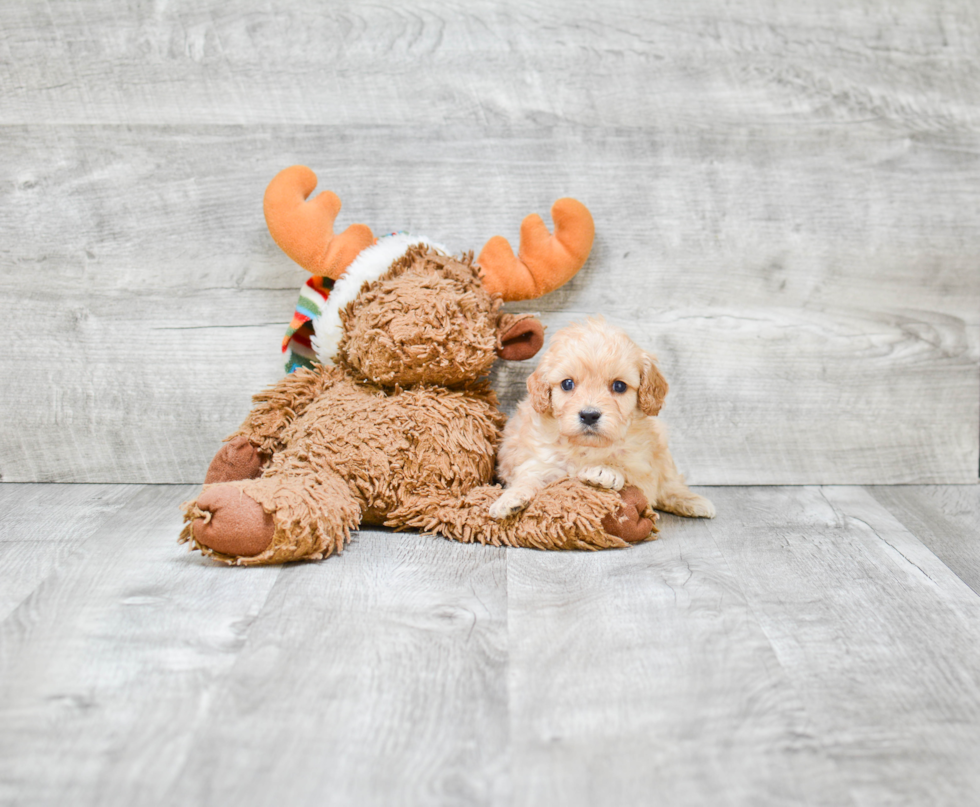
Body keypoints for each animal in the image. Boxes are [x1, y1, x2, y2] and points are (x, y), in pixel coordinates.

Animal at [488, 316, 712, 524]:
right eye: (567, 384)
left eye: (619, 386)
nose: (589, 415)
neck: (587, 447)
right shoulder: (541, 461)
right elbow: (528, 478)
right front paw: (509, 499)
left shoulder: (643, 469)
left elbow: (627, 469)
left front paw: (605, 470)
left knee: (670, 483)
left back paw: (693, 501)